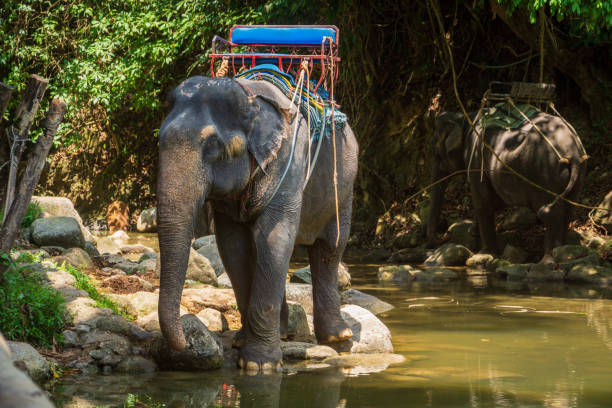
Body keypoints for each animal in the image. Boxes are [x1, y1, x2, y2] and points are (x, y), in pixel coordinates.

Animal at [157, 75, 358, 372]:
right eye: (158, 140)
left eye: (212, 146)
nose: (187, 343)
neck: (250, 99)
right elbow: (233, 246)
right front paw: (245, 344)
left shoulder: (290, 164)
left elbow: (273, 237)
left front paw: (259, 365)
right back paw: (282, 333)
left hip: (344, 189)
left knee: (329, 247)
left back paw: (338, 337)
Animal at [428, 109, 584, 262]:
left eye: (435, 153)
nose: (447, 233)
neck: (465, 117)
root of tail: (572, 153)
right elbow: (495, 200)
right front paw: (472, 232)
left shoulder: (476, 161)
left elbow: (482, 203)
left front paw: (485, 253)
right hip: (574, 174)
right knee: (568, 210)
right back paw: (562, 251)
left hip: (545, 173)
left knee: (550, 213)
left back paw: (547, 260)